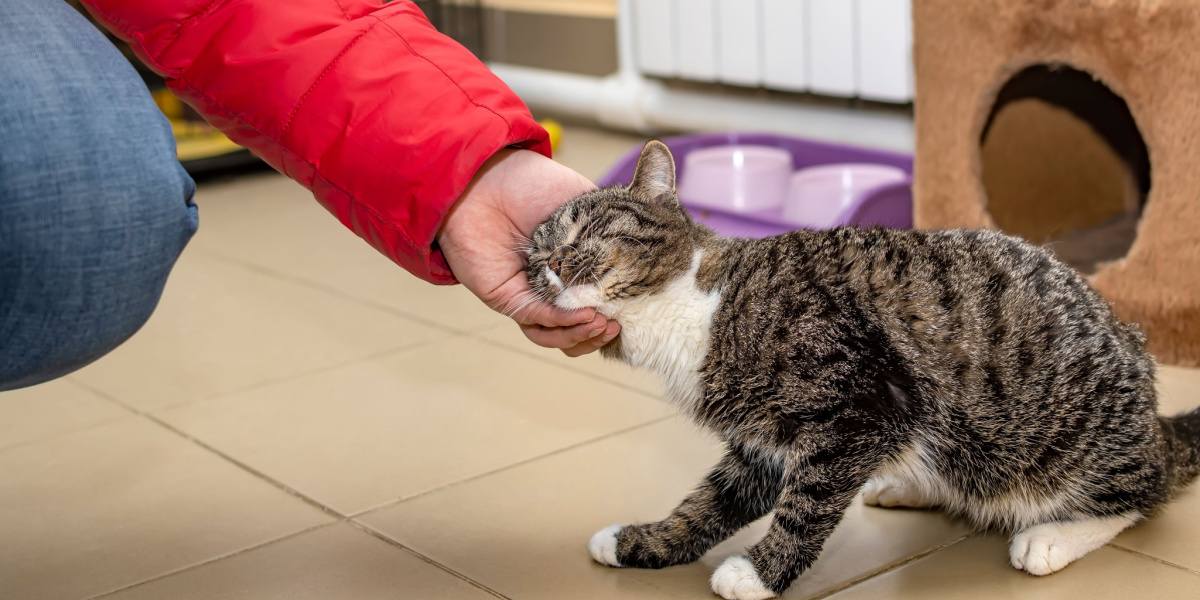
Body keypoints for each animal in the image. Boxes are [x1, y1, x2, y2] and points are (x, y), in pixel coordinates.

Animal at [523, 141, 1200, 600]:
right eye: (534, 252)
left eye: (590, 227)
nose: (550, 262)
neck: (694, 305)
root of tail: (1155, 419)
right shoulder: (765, 443)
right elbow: (711, 502)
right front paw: (643, 540)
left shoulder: (859, 409)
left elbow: (808, 502)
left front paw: (759, 572)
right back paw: (907, 485)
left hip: (1057, 446)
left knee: (1142, 492)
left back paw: (1053, 536)